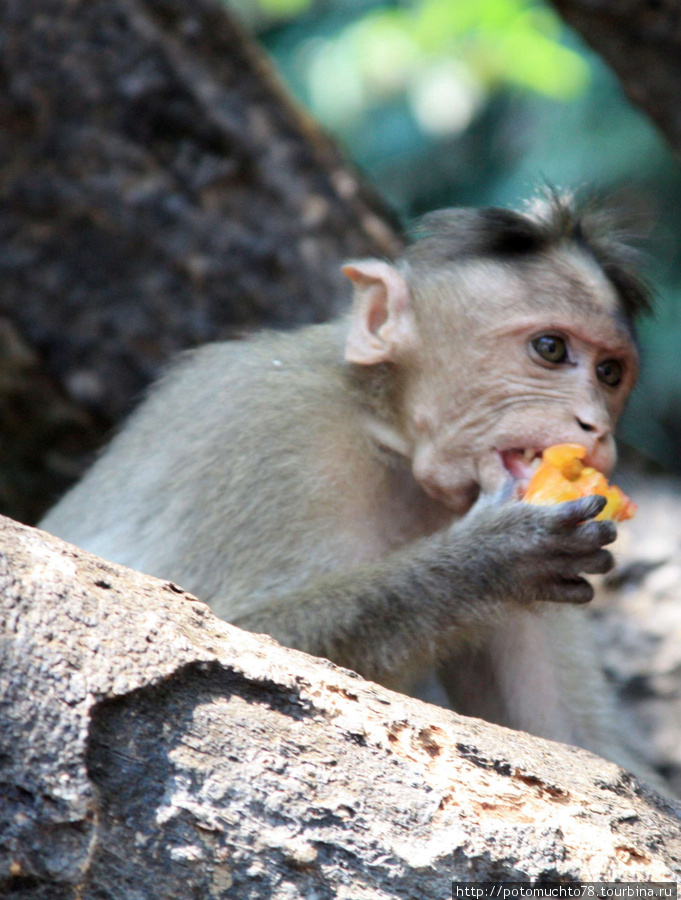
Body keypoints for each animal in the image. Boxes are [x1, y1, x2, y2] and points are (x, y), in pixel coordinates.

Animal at [39, 195, 656, 780]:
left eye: (609, 374)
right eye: (551, 349)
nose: (595, 426)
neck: (387, 433)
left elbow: (572, 742)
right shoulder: (274, 436)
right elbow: (226, 637)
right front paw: (491, 559)